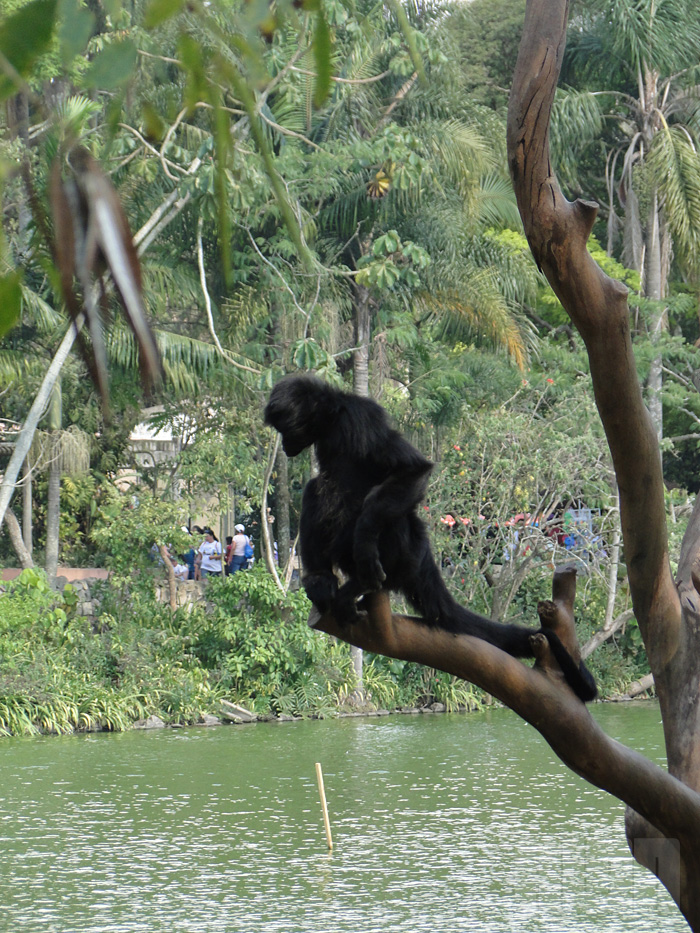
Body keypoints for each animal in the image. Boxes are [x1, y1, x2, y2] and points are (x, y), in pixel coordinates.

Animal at [262, 374, 596, 704]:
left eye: (286, 429)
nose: (286, 445)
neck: (332, 420)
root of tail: (423, 559)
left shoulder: (362, 419)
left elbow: (413, 470)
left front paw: (364, 543)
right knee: (317, 489)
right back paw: (322, 579)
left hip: (405, 551)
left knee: (383, 512)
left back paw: (362, 582)